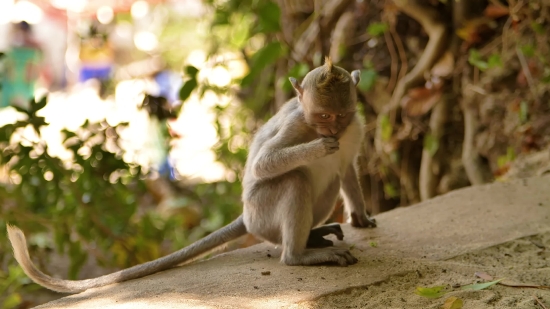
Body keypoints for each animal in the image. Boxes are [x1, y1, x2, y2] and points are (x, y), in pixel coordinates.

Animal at [7, 56, 380, 292]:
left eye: (340, 115)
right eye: (322, 116)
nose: (331, 131)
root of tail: (246, 217)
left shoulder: (355, 128)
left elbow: (347, 168)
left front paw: (361, 217)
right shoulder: (297, 124)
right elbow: (263, 164)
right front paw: (318, 148)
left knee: (331, 180)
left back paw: (312, 238)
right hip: (262, 210)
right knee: (295, 180)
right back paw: (299, 255)